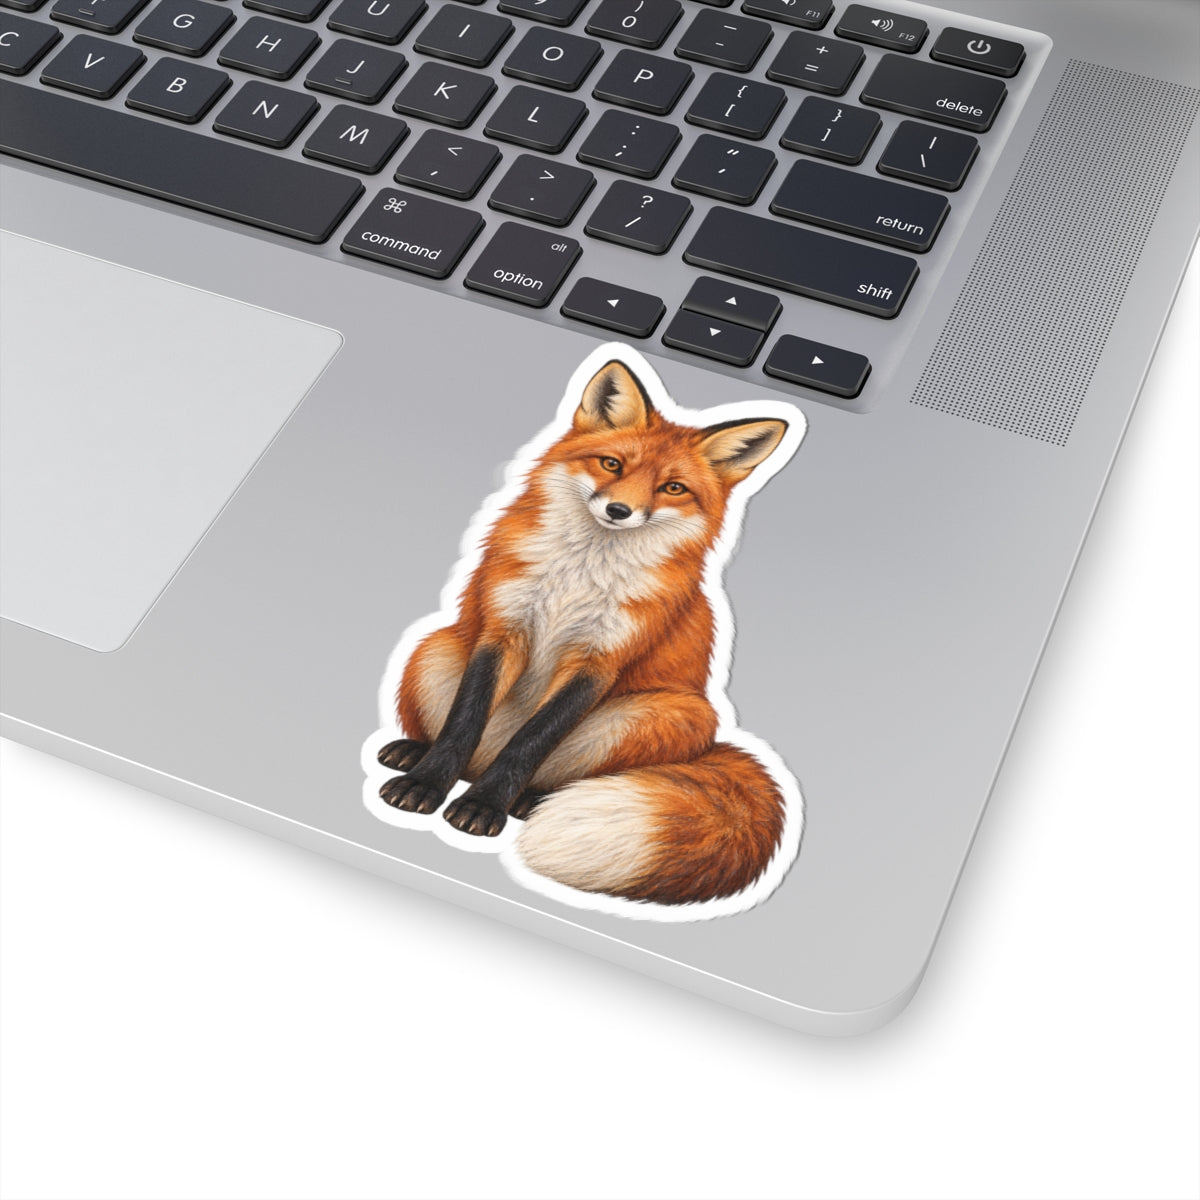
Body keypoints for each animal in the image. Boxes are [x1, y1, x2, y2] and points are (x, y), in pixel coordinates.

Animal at [369, 349, 804, 919]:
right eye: (612, 465)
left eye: (672, 488)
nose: (619, 511)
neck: (581, 572)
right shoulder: (501, 631)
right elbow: (463, 721)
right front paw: (425, 782)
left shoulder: (599, 661)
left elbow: (532, 739)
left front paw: (484, 806)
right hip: (435, 648)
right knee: (463, 738)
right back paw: (412, 752)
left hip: (670, 712)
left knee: (550, 774)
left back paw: (525, 801)